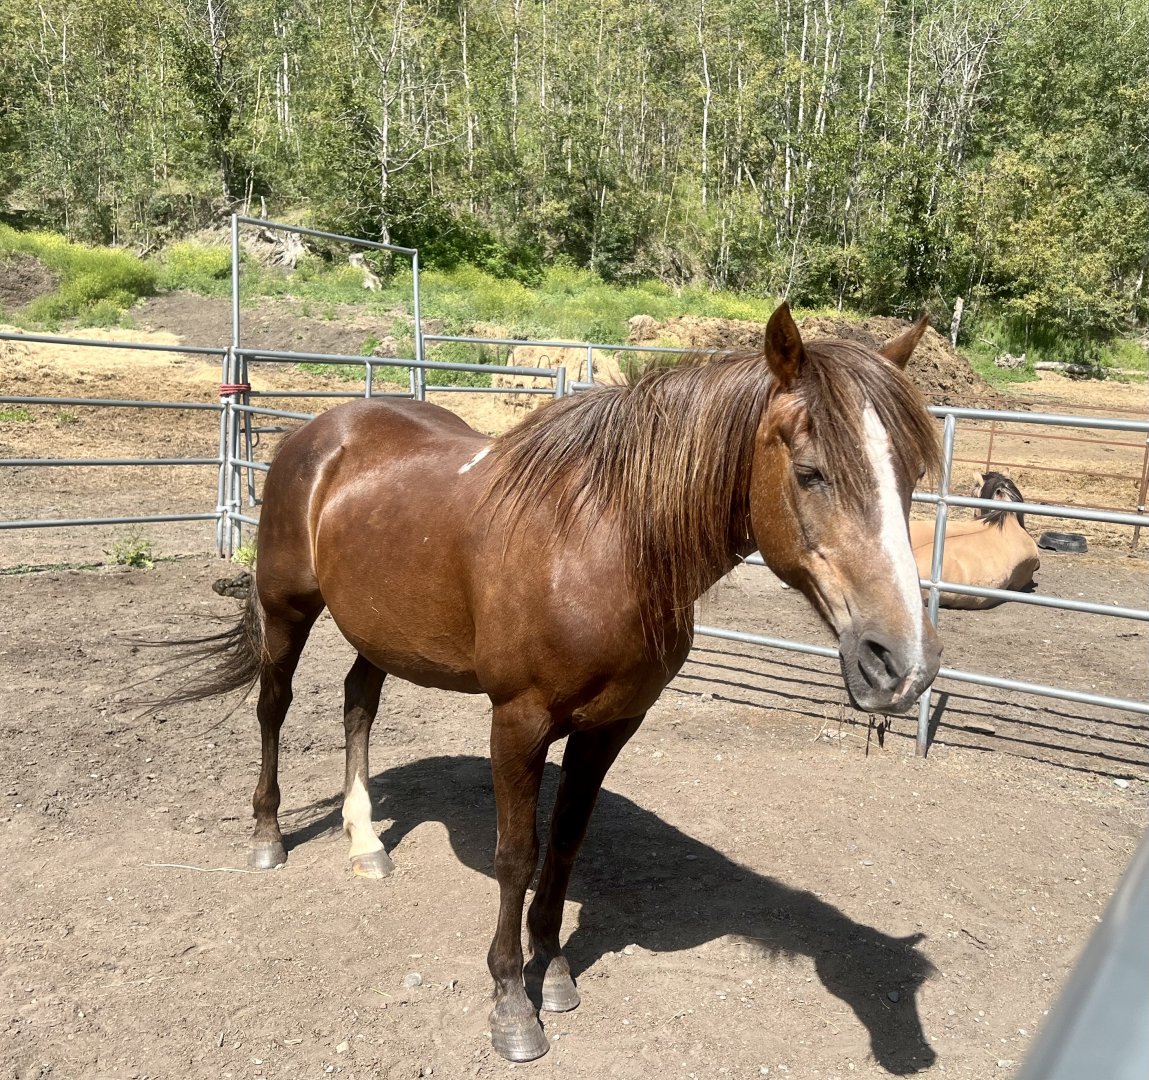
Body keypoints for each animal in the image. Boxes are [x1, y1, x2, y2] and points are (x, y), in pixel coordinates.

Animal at [167, 303, 941, 1062]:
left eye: (908, 477)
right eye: (811, 473)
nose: (903, 665)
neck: (603, 543)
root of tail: (320, 432)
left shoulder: (611, 726)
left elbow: (566, 843)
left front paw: (556, 967)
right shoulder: (519, 720)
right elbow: (517, 856)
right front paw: (512, 1003)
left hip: (378, 629)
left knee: (358, 704)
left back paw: (365, 845)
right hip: (286, 609)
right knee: (274, 708)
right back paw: (268, 836)